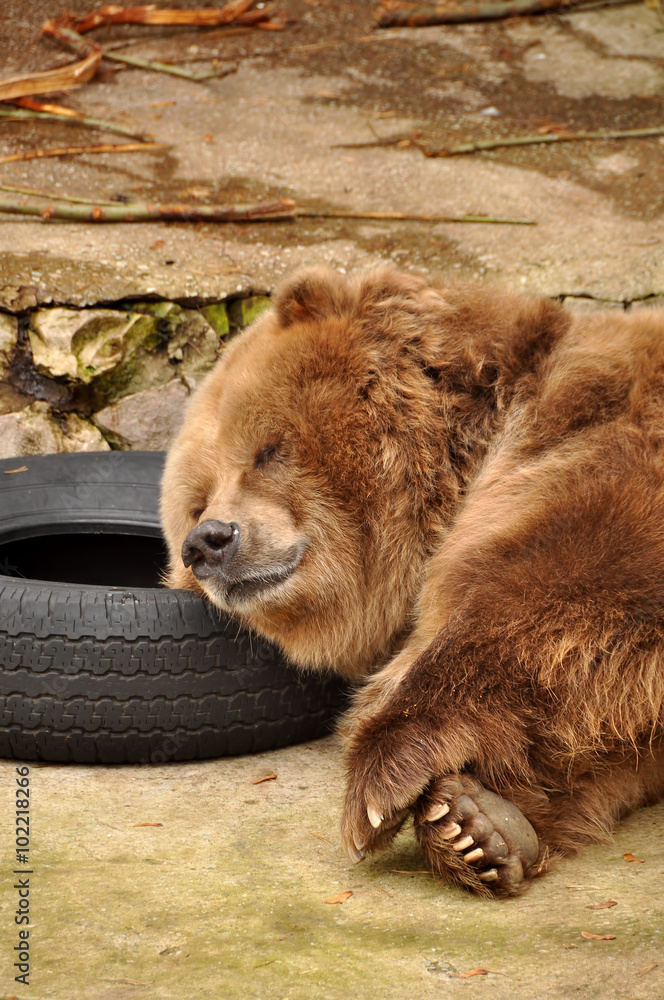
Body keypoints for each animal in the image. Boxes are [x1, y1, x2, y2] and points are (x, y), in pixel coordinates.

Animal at [161, 265, 664, 897]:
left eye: (268, 450)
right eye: (197, 500)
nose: (208, 542)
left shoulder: (603, 441)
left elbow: (555, 584)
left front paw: (387, 773)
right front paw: (478, 822)